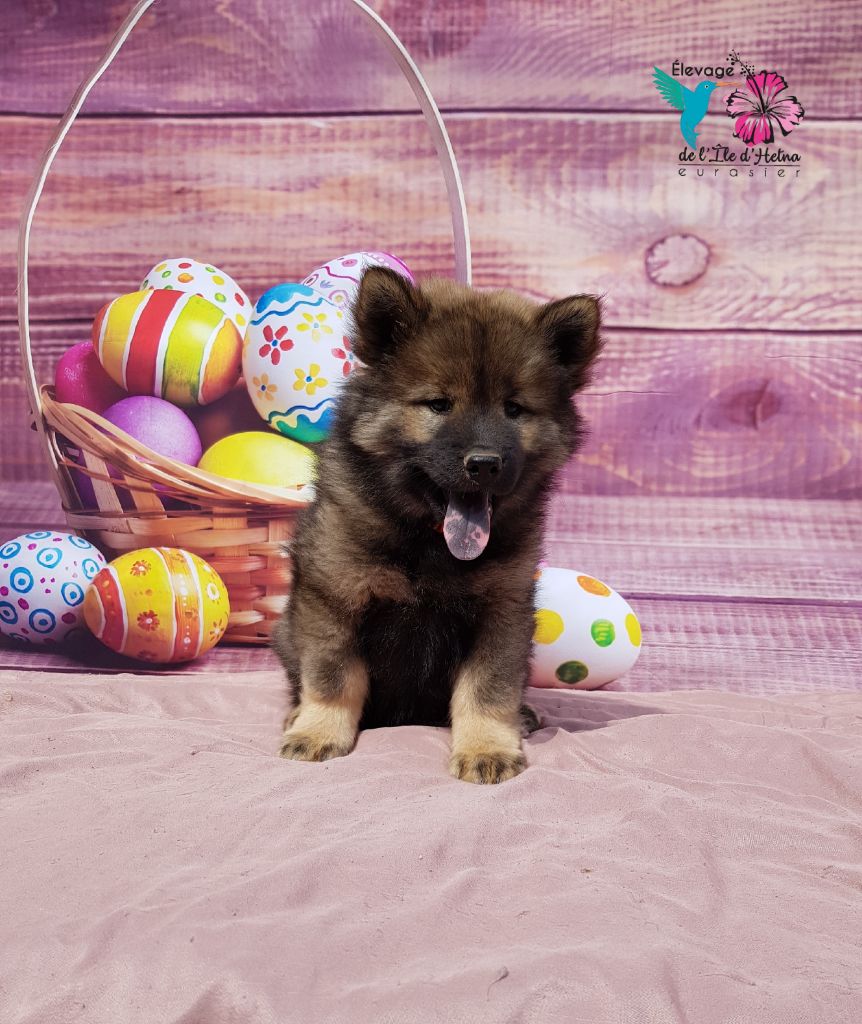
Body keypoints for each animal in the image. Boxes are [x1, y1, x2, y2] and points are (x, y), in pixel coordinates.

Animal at [273, 267, 602, 783]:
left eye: (514, 409)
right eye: (439, 404)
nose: (484, 463)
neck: (430, 543)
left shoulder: (502, 613)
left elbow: (487, 689)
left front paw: (487, 746)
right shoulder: (335, 600)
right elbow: (332, 678)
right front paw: (318, 731)